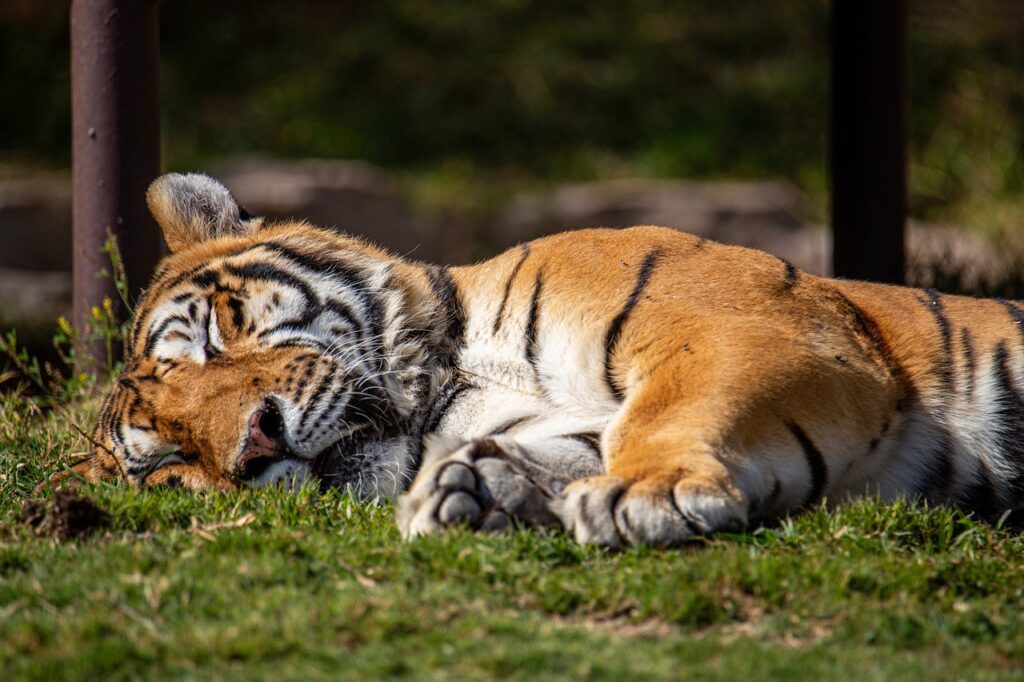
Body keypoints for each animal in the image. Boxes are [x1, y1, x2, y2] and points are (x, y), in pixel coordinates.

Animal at [68, 171, 1024, 548]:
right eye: (173, 462)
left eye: (218, 335)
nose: (256, 444)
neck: (454, 382)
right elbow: (566, 447)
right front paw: (476, 493)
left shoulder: (749, 327)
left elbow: (672, 408)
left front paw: (646, 494)